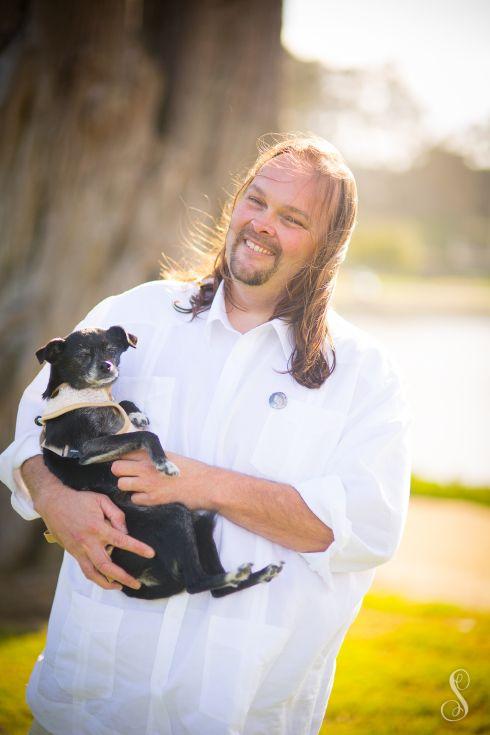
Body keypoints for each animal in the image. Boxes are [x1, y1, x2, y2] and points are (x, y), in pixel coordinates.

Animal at [33, 326, 284, 600]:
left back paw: (256, 574)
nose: (107, 366)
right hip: (176, 517)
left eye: (111, 349)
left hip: (196, 523)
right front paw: (164, 463)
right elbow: (147, 436)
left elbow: (124, 408)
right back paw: (233, 575)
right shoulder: (86, 449)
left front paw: (135, 412)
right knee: (196, 583)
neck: (82, 393)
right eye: (82, 355)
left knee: (217, 590)